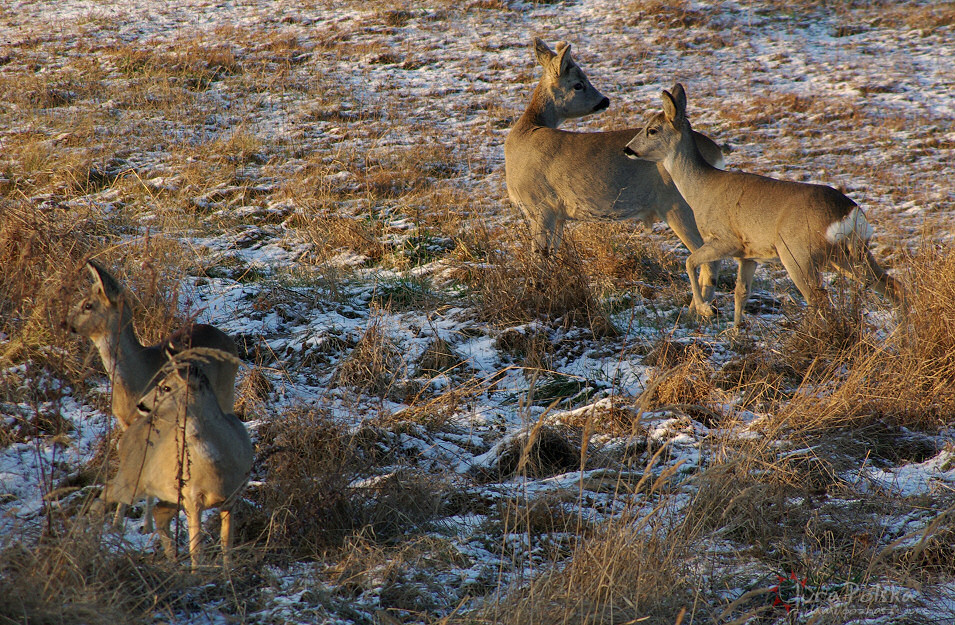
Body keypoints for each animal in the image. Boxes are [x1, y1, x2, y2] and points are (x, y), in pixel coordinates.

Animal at [103, 356, 256, 572]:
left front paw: (228, 573)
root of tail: (126, 436)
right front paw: (197, 574)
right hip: (132, 478)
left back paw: (172, 559)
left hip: (169, 493)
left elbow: (227, 543)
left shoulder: (232, 497)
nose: (141, 405)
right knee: (106, 492)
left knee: (159, 512)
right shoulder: (192, 497)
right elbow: (196, 547)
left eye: (166, 387)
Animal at [508, 37, 724, 302]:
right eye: (579, 84)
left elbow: (539, 259)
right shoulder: (558, 215)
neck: (525, 132)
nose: (604, 100)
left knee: (710, 261)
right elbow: (551, 257)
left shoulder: (541, 206)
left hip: (680, 206)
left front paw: (537, 293)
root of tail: (716, 155)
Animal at [624, 83, 908, 326]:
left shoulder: (726, 239)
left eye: (652, 130)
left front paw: (705, 309)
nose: (627, 149)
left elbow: (690, 262)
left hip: (799, 254)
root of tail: (849, 213)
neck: (701, 189)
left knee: (819, 301)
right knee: (894, 286)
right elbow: (741, 292)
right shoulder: (749, 253)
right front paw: (735, 332)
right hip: (851, 254)